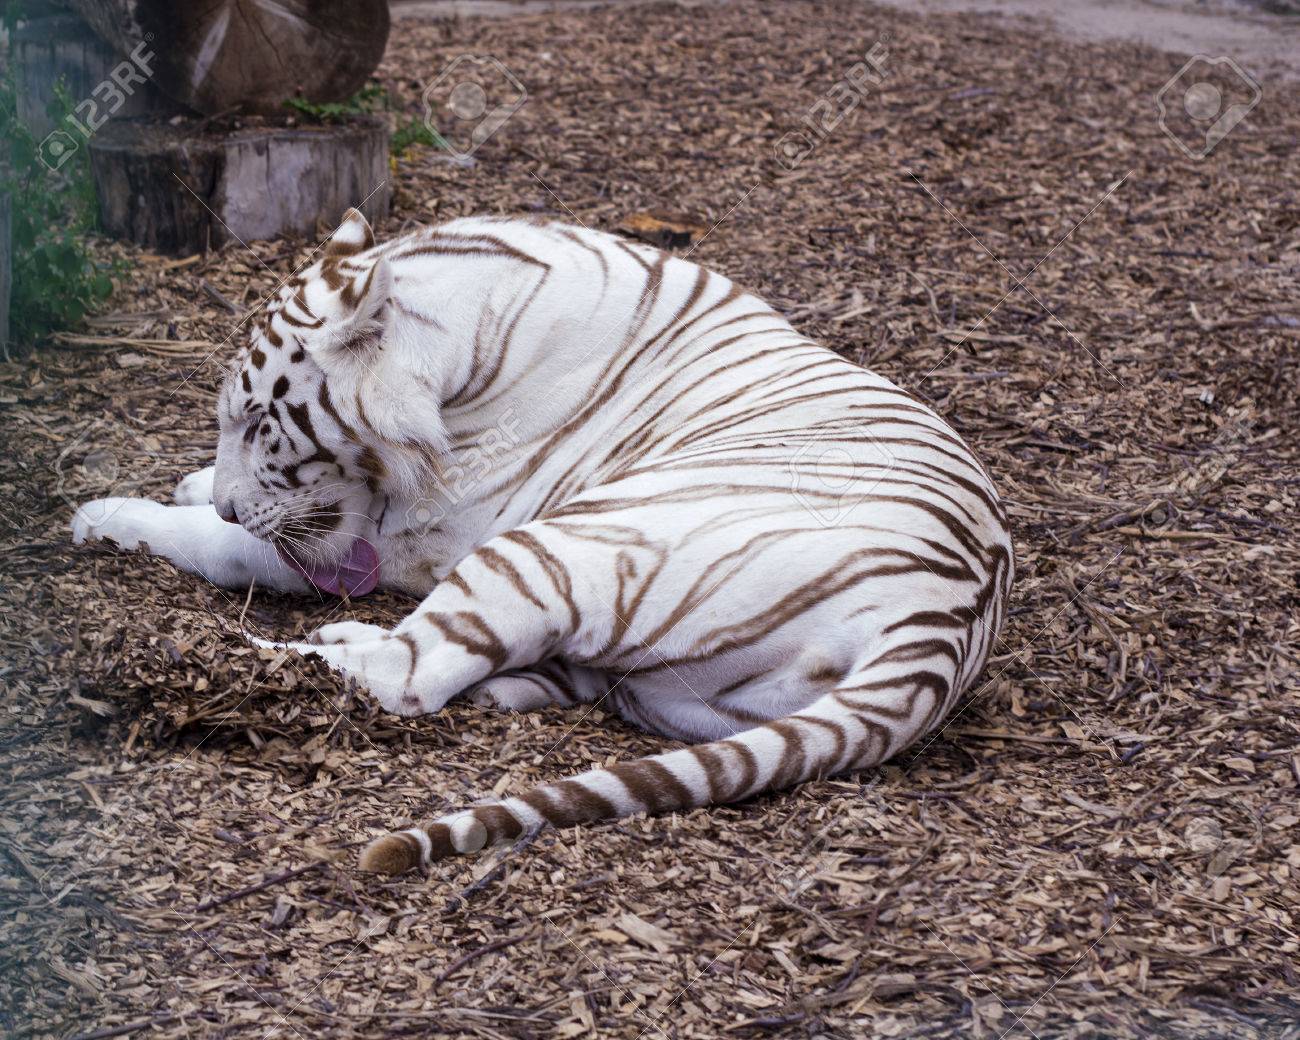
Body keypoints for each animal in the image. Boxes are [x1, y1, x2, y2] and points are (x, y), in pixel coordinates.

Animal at [71, 209, 1013, 875]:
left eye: (260, 423)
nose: (235, 505)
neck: (459, 334)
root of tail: (943, 624)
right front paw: (194, 487)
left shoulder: (421, 535)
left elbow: (243, 549)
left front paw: (113, 516)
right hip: (680, 691)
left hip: (559, 543)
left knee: (407, 676)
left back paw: (255, 656)